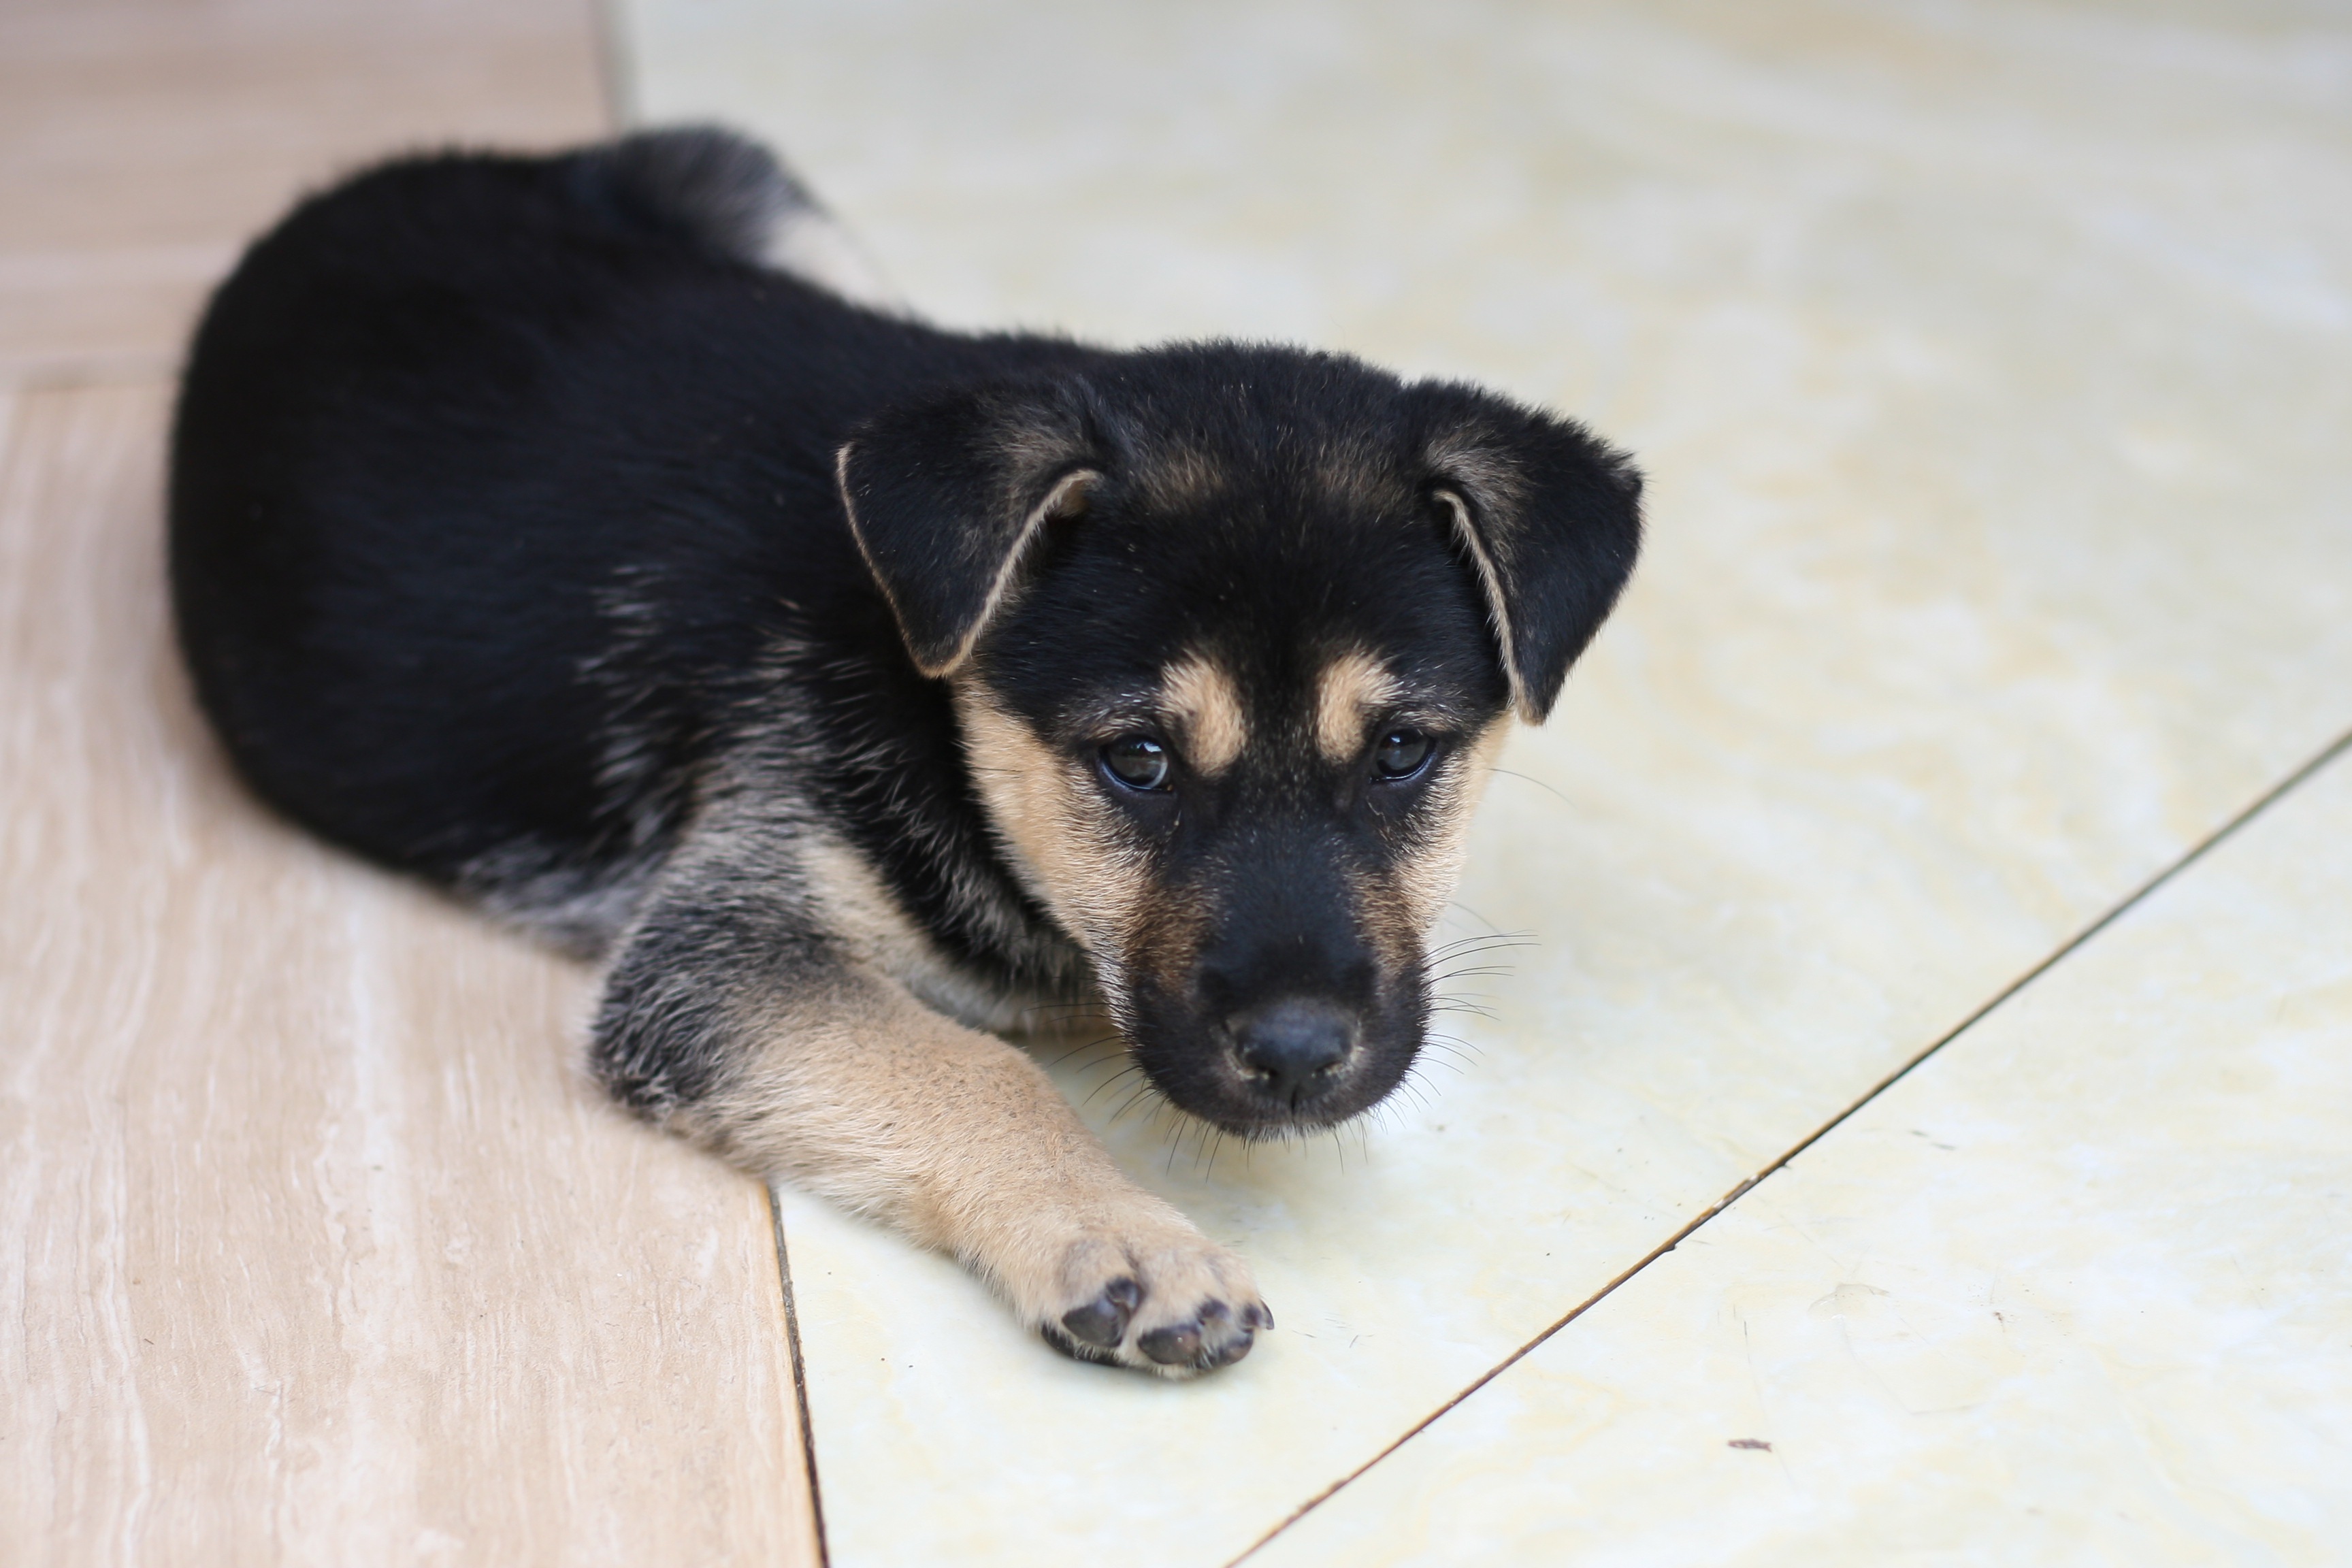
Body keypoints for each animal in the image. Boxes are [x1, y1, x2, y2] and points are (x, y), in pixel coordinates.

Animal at [170, 131, 1637, 1373]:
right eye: (1137, 761)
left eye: (1401, 752)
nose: (1296, 1052)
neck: (934, 689)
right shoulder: (721, 952)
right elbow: (966, 1064)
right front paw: (1119, 1233)